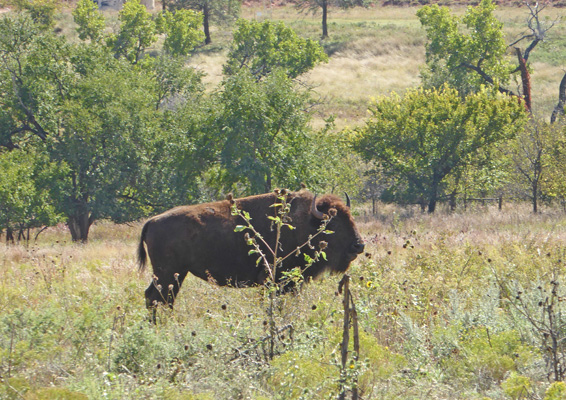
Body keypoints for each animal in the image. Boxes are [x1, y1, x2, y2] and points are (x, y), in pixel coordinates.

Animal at [140, 189, 366, 308]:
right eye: (333, 223)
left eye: (350, 217)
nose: (359, 245)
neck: (305, 222)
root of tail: (152, 221)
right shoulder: (271, 280)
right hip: (168, 273)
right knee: (156, 298)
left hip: (176, 274)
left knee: (159, 298)